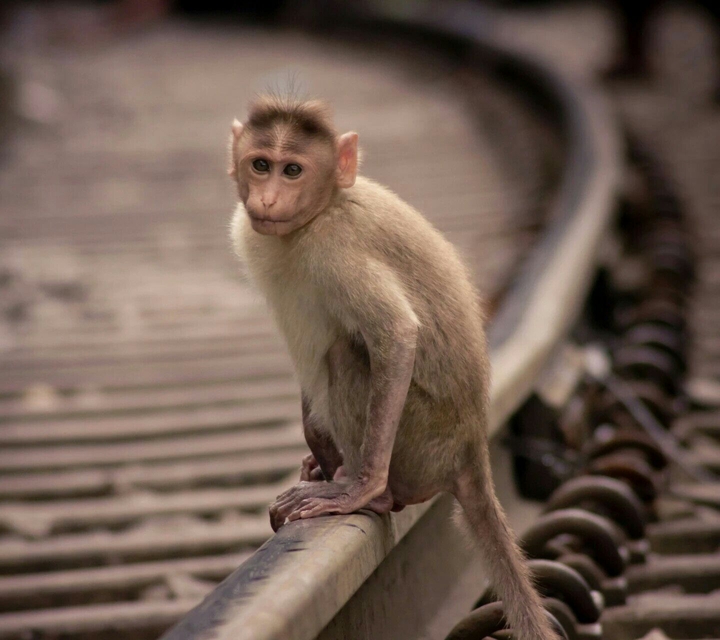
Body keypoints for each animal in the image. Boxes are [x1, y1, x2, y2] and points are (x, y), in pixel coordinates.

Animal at [228, 94, 557, 640]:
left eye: (292, 170)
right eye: (260, 164)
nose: (269, 199)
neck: (321, 211)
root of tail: (472, 447)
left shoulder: (336, 248)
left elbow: (397, 335)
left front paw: (358, 489)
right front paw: (317, 453)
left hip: (421, 443)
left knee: (346, 353)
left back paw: (379, 495)